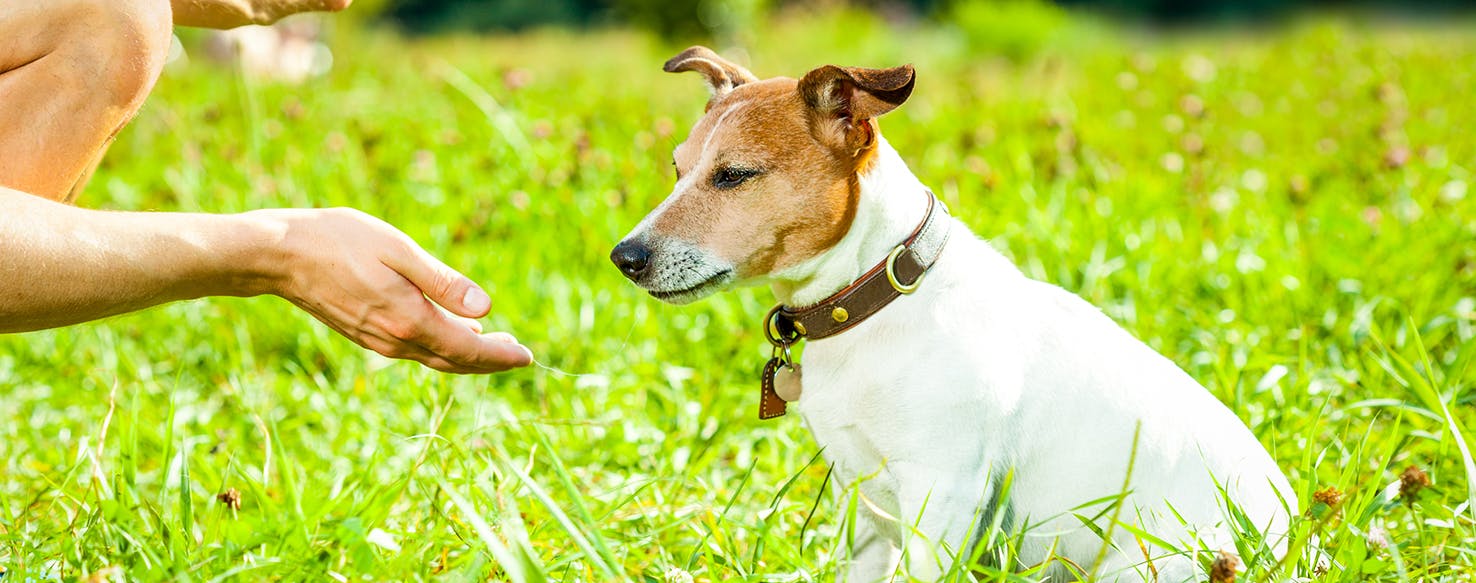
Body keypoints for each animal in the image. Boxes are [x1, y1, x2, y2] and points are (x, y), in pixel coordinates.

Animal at [611, 46, 1292, 583]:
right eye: (676, 169)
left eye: (733, 176)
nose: (624, 257)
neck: (877, 294)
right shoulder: (862, 501)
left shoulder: (943, 497)